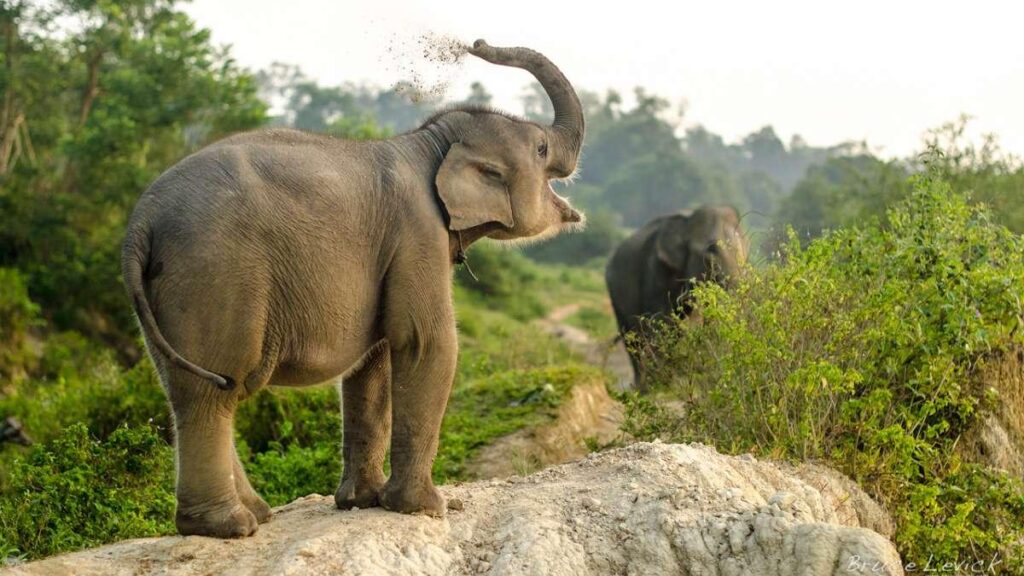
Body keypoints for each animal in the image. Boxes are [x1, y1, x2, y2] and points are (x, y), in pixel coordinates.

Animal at [119, 38, 585, 537]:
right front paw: (428, 508)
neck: (429, 142)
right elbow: (425, 343)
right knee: (214, 391)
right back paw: (231, 526)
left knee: (188, 390)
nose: (474, 44)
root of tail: (141, 220)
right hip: (215, 273)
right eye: (542, 148)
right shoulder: (417, 231)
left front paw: (364, 502)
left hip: (167, 293)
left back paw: (253, 514)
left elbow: (372, 364)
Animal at [602, 204, 749, 389]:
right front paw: (661, 385)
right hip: (614, 293)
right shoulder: (655, 269)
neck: (687, 223)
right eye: (711, 250)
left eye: (746, 249)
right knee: (631, 337)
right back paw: (643, 385)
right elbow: (661, 320)